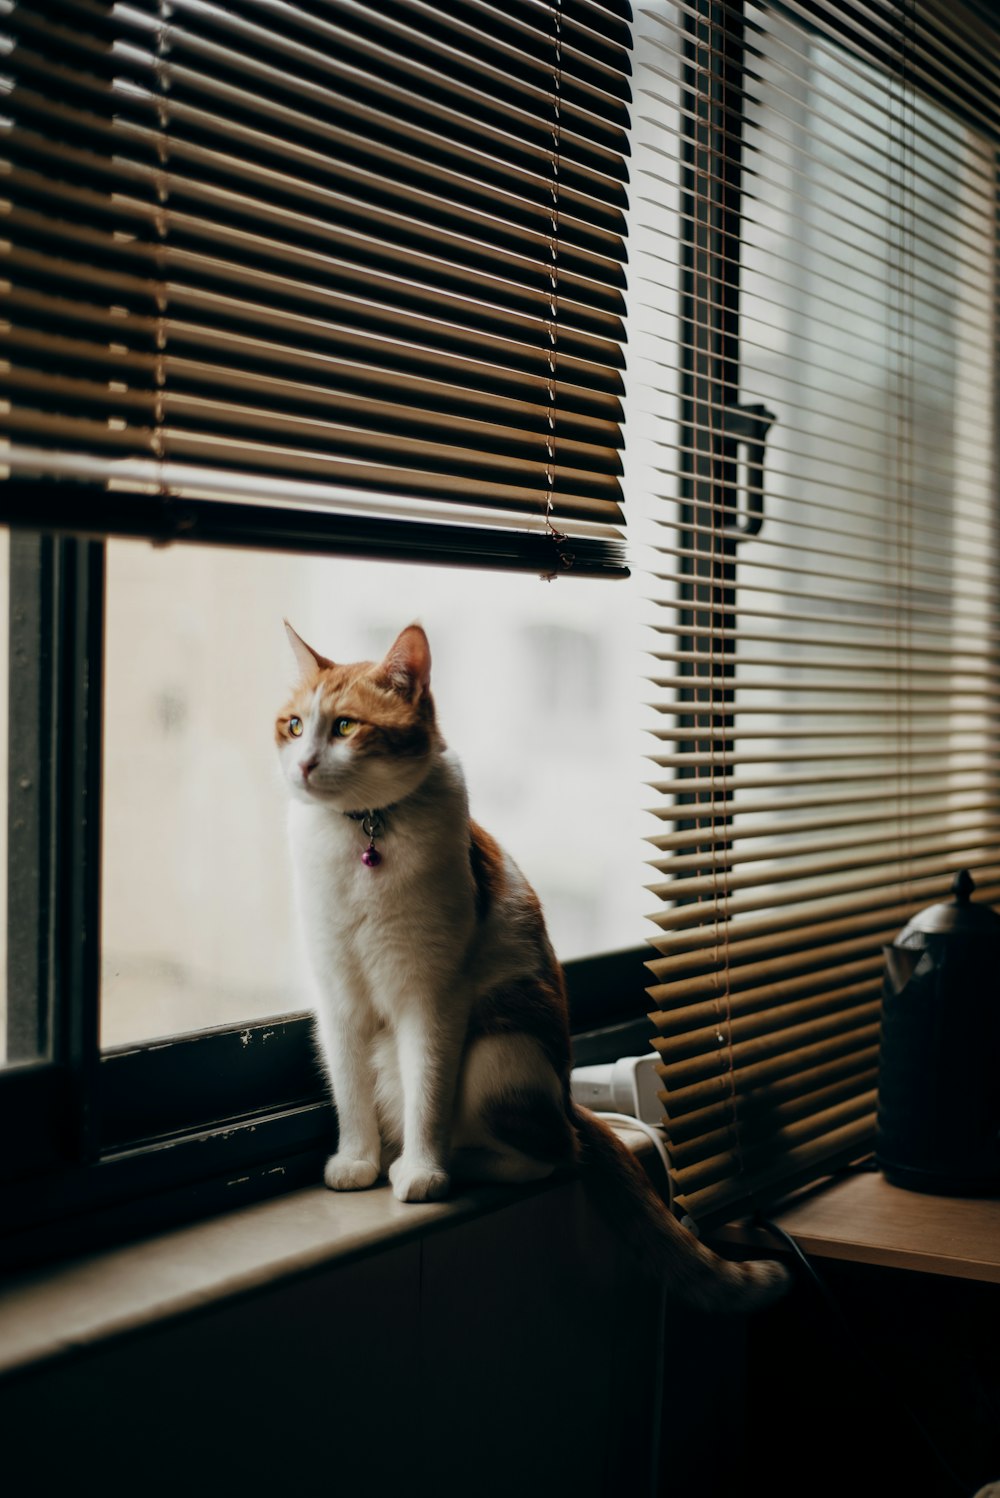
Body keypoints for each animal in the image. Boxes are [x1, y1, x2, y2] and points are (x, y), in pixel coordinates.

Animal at [273, 620, 790, 1312]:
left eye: (347, 727)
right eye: (295, 726)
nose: (303, 764)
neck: (364, 835)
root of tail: (572, 1101)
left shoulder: (434, 997)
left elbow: (426, 1096)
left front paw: (424, 1172)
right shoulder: (338, 997)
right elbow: (349, 1090)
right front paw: (356, 1160)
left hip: (496, 1050)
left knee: (550, 1155)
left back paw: (459, 1161)